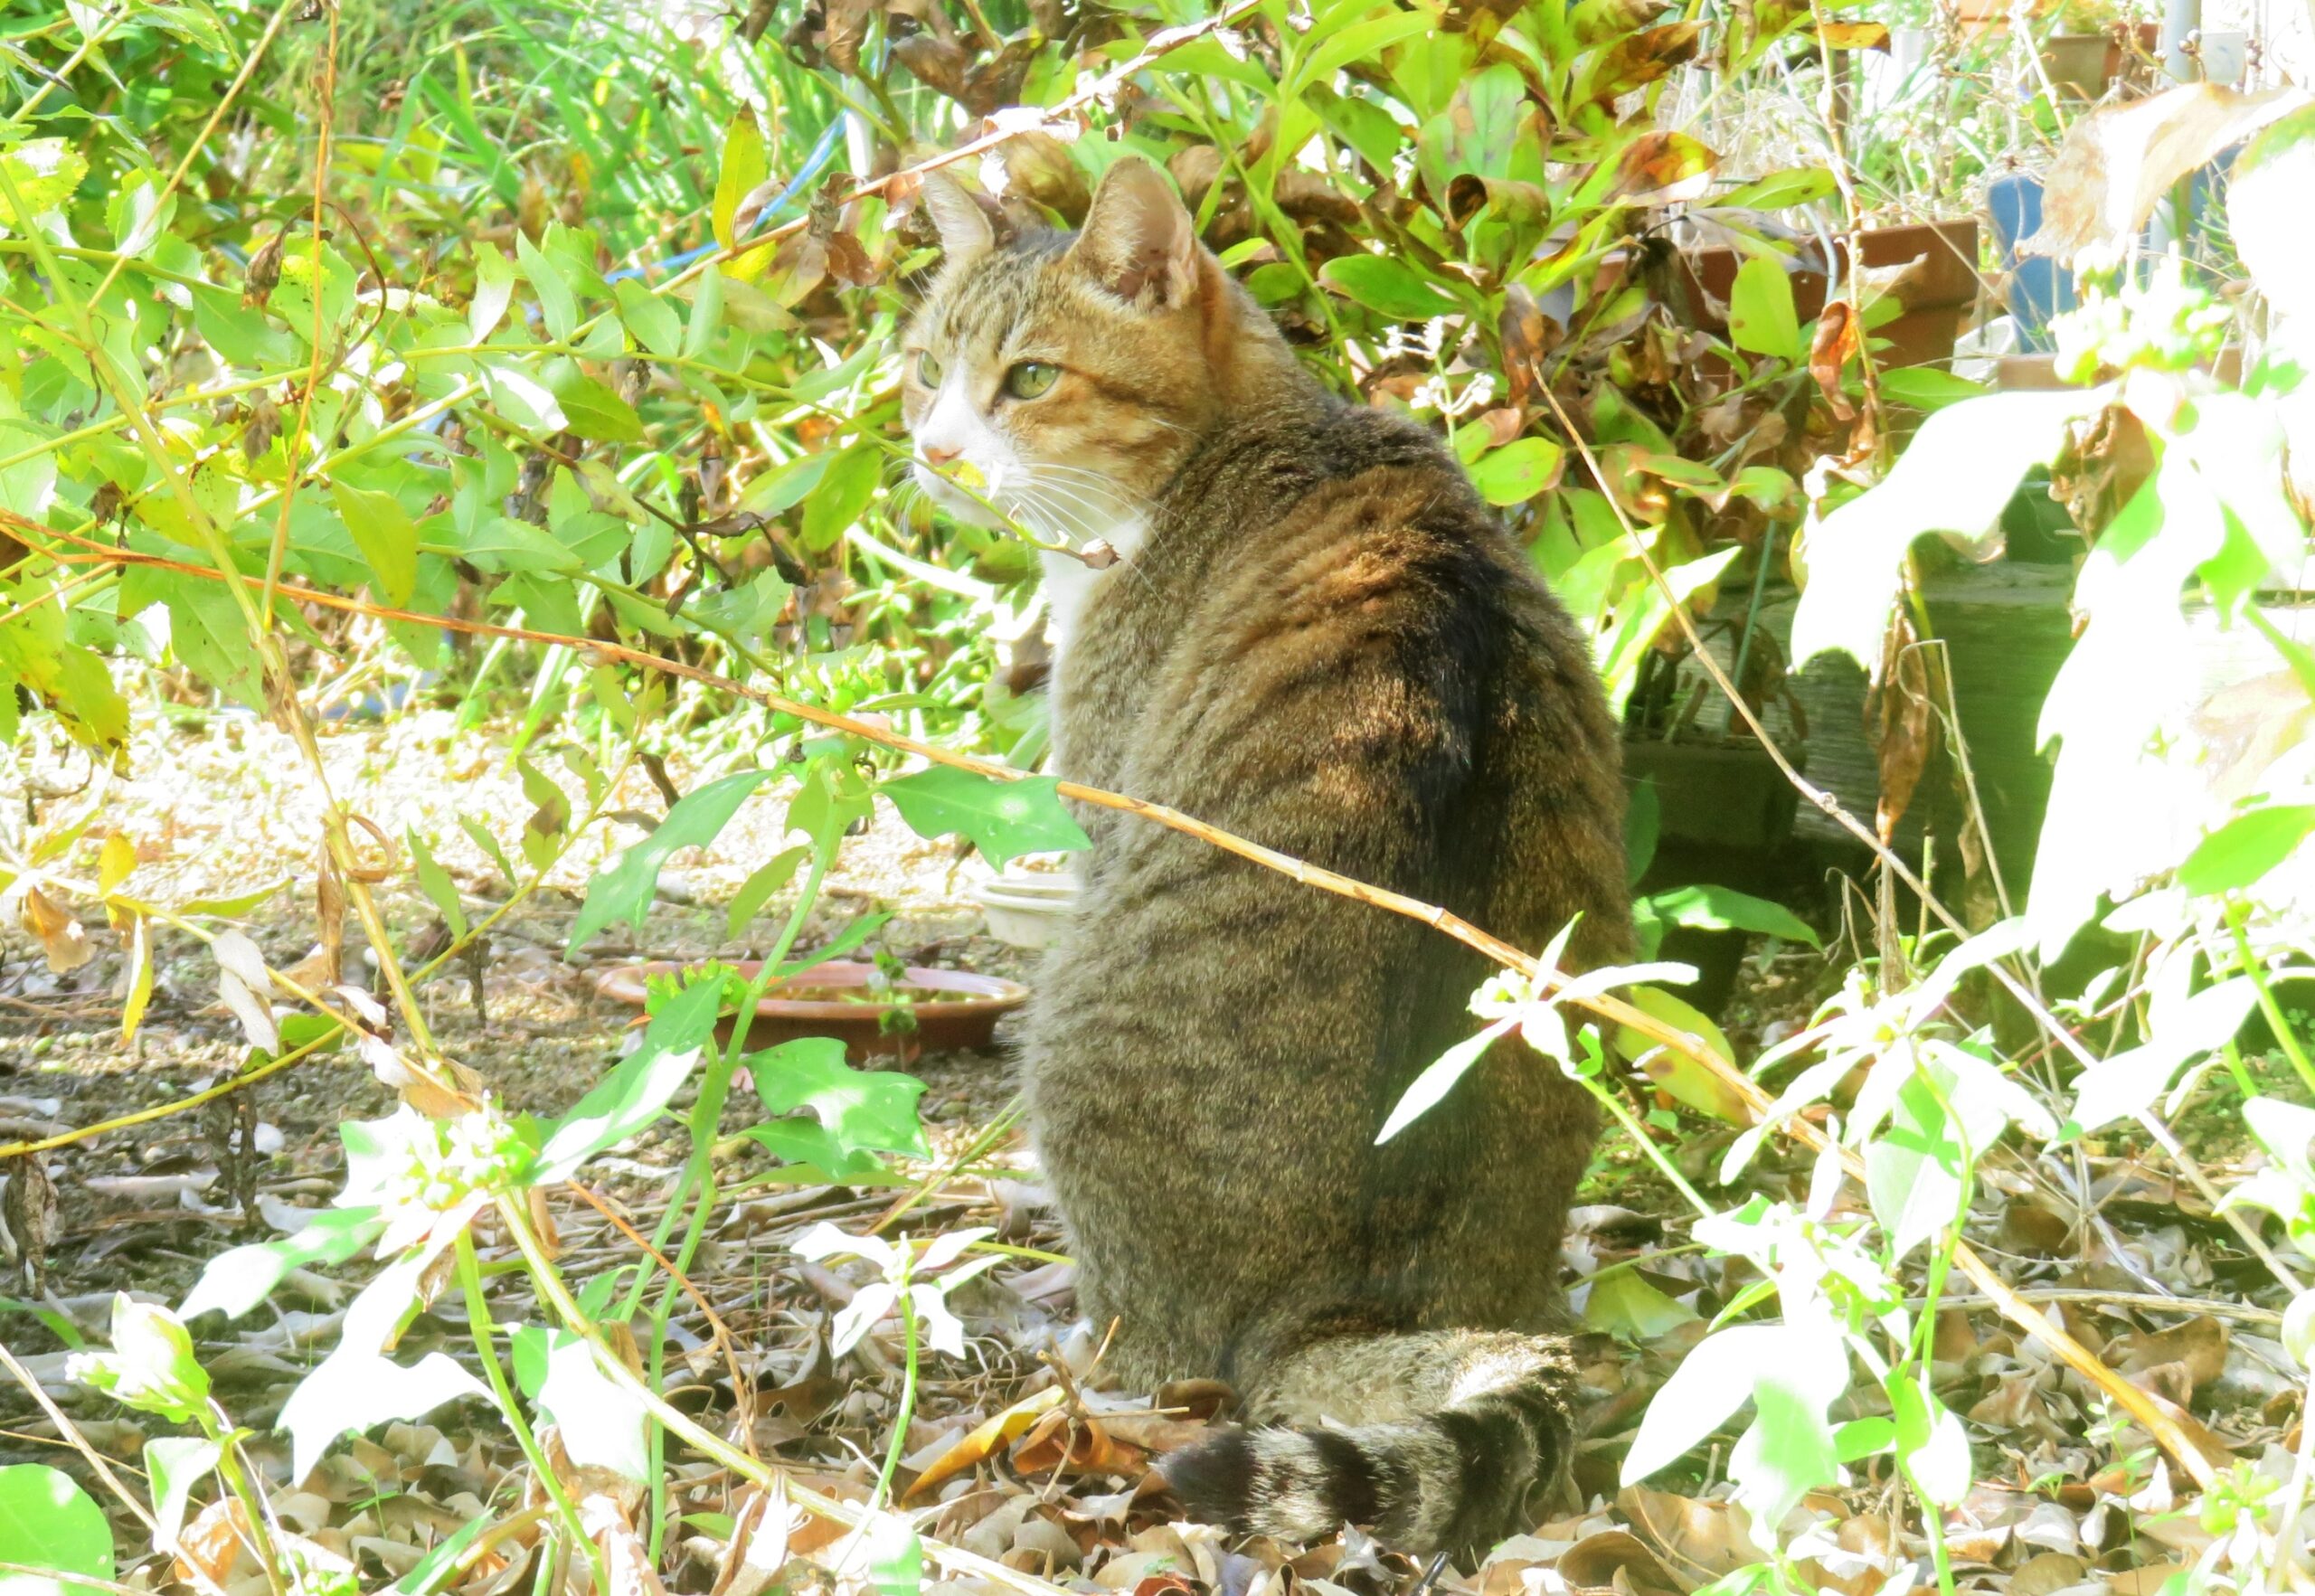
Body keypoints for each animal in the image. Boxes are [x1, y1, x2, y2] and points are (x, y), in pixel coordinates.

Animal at [893, 158, 1639, 1556]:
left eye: (1029, 378)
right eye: (923, 369)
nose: (934, 450)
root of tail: (1348, 1301)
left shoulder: (1106, 792)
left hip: (1073, 1042)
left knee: (1146, 1350)